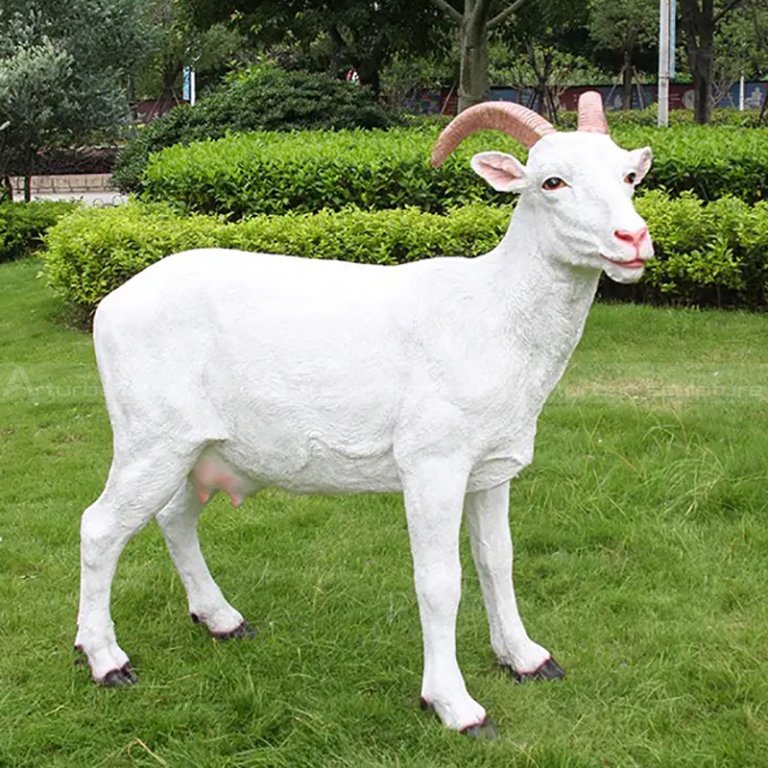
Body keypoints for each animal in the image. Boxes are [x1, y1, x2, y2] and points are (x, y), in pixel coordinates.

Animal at [74, 91, 653, 737]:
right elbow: (440, 581)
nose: (633, 239)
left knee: (174, 518)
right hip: (150, 438)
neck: (492, 313)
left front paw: (528, 659)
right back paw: (106, 660)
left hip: (200, 449)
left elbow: (496, 560)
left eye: (628, 177)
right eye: (551, 181)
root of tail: (110, 307)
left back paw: (223, 619)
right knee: (100, 527)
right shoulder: (432, 463)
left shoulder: (491, 469)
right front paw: (456, 706)